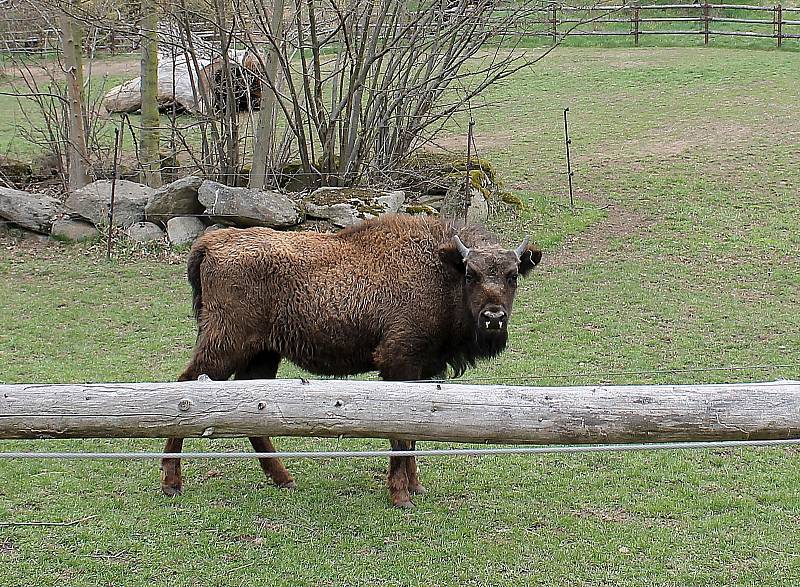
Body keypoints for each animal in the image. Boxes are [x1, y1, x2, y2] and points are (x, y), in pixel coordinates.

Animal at [162, 214, 540, 508]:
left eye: (512, 275)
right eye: (470, 273)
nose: (494, 317)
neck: (438, 270)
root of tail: (211, 243)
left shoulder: (426, 370)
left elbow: (415, 432)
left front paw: (416, 486)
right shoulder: (398, 363)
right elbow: (399, 435)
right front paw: (401, 496)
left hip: (262, 355)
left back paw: (284, 478)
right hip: (224, 348)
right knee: (184, 390)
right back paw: (171, 482)